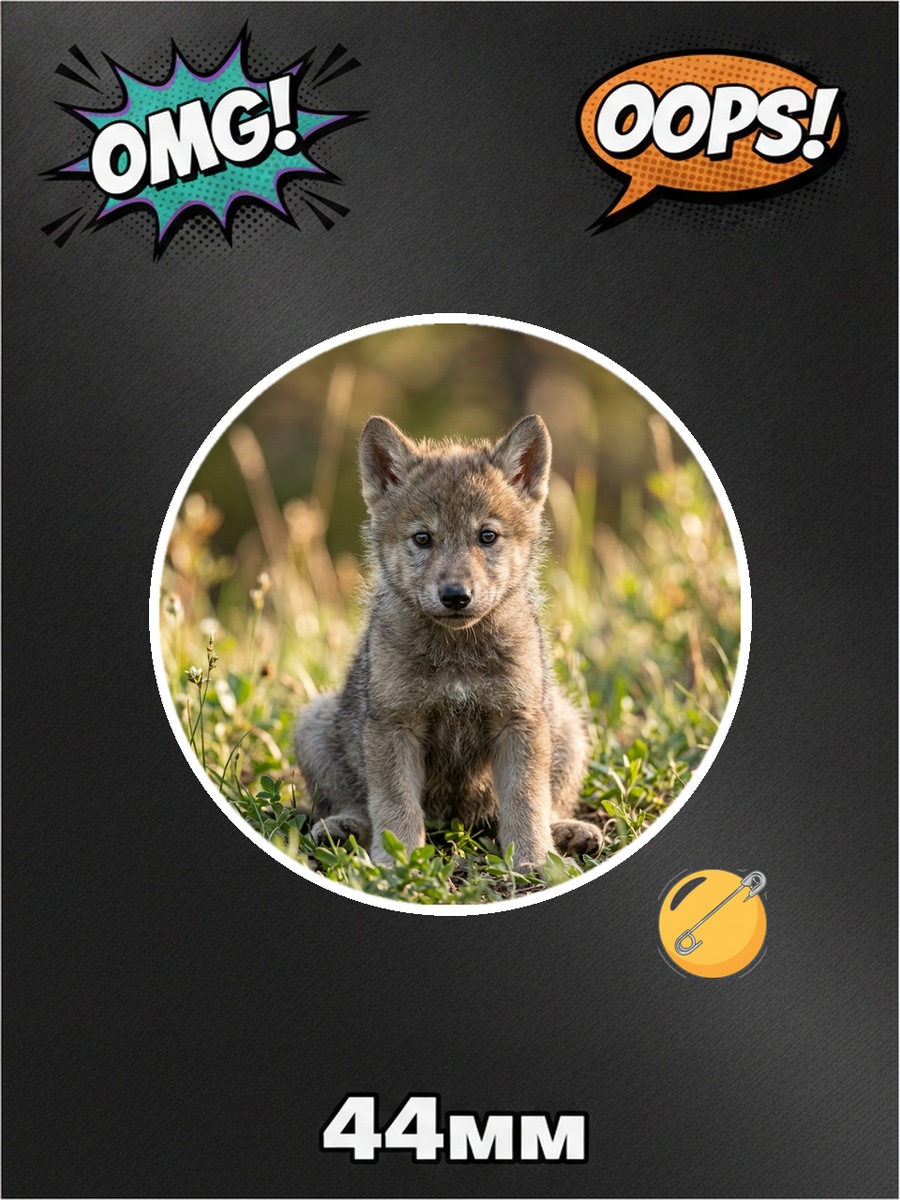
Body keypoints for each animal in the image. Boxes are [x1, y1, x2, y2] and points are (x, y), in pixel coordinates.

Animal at [294, 413, 597, 870]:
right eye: (423, 538)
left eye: (487, 536)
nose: (456, 596)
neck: (457, 656)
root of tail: (455, 822)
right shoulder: (394, 724)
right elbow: (395, 805)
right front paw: (398, 865)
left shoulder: (518, 720)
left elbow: (527, 801)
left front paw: (531, 861)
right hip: (314, 725)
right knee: (353, 802)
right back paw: (344, 828)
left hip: (566, 725)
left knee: (551, 801)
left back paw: (567, 832)